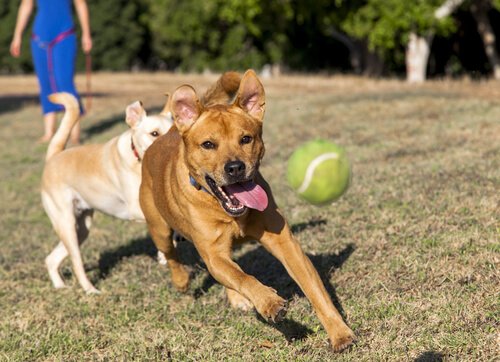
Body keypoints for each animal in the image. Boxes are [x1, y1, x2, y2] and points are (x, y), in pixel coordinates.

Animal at [40, 92, 172, 292]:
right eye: (154, 133)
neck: (139, 161)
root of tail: (54, 156)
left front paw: (165, 254)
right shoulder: (136, 208)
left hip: (81, 228)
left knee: (51, 259)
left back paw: (60, 286)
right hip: (67, 224)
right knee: (77, 265)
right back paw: (91, 291)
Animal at [141, 70, 356, 350]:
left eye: (245, 139)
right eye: (208, 144)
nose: (235, 167)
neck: (228, 211)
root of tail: (168, 132)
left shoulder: (285, 243)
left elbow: (314, 290)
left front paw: (339, 333)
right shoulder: (213, 251)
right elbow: (243, 278)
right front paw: (269, 303)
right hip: (159, 228)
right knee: (172, 254)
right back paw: (181, 281)